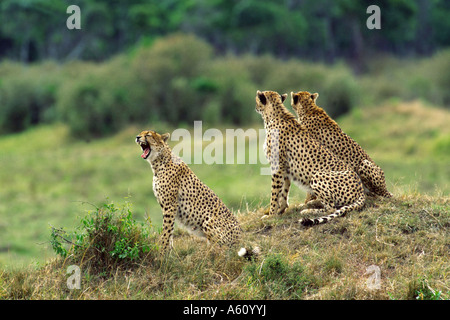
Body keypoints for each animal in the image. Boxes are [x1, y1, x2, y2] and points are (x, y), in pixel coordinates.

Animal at [256, 89, 366, 225]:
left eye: (257, 99)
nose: (256, 106)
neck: (273, 116)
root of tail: (361, 190)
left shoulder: (277, 166)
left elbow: (275, 193)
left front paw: (271, 215)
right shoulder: (284, 167)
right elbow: (284, 190)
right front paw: (281, 210)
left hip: (317, 175)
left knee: (331, 208)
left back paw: (308, 210)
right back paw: (311, 203)